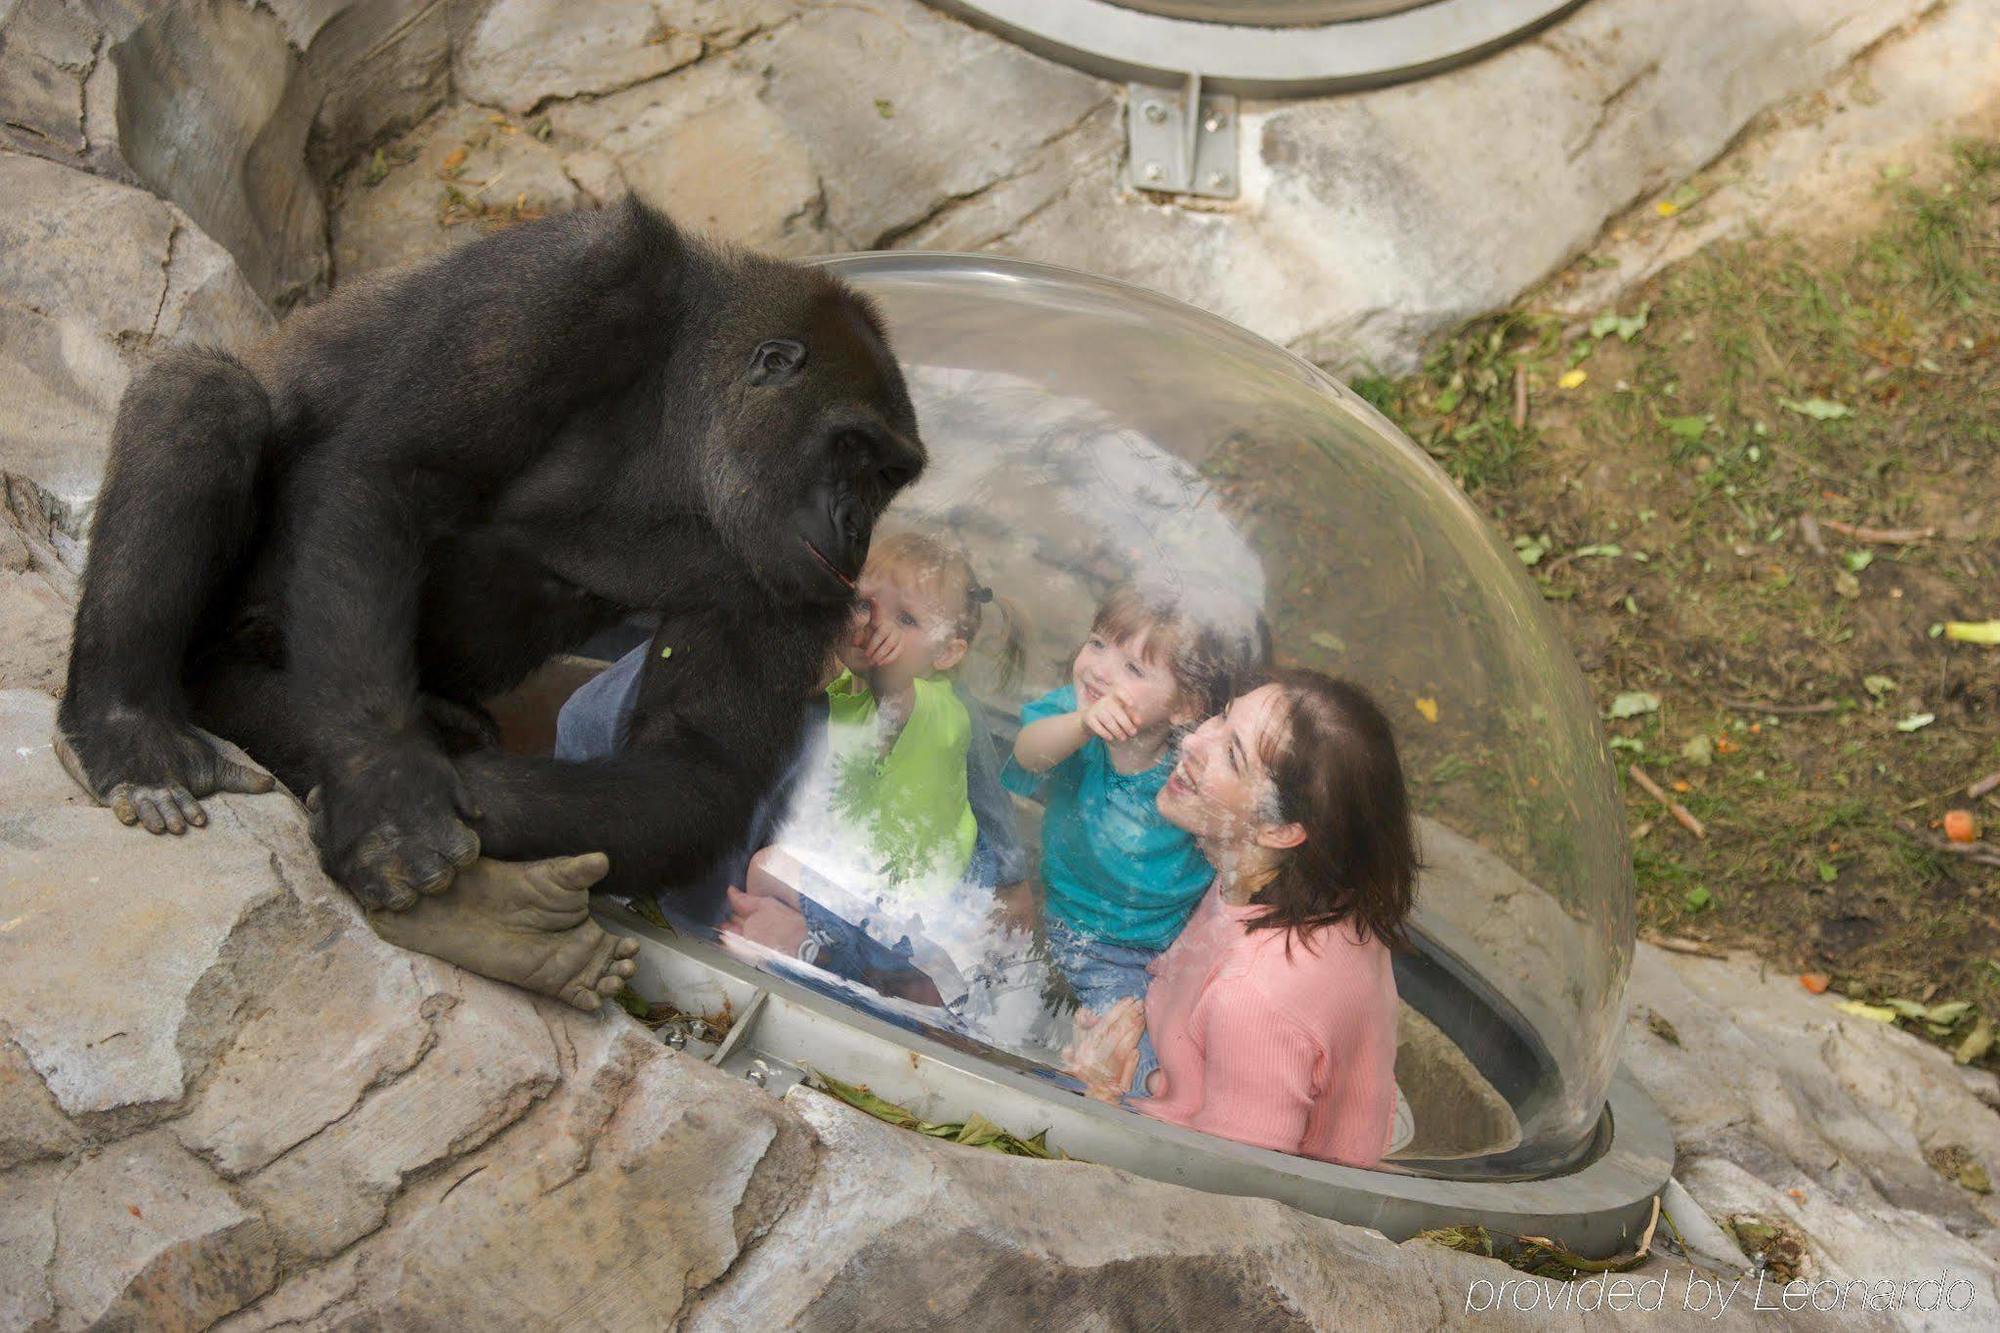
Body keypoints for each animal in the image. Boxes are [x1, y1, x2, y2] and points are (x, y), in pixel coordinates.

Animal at [58, 197, 924, 1000]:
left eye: (888, 478)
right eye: (853, 451)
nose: (855, 530)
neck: (684, 412)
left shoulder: (794, 575)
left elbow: (693, 764)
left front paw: (466, 803)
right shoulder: (575, 275)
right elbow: (392, 470)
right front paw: (389, 787)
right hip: (204, 658)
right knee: (203, 397)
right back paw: (126, 727)